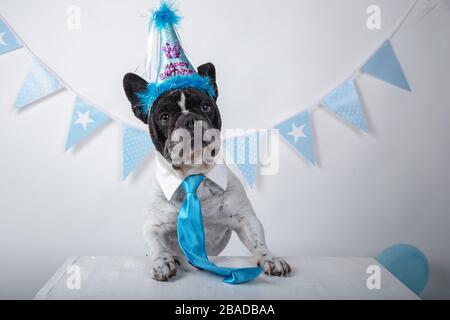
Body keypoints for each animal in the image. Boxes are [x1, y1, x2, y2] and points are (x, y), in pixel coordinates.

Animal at [123, 62, 292, 280]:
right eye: (164, 117)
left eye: (205, 107)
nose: (189, 119)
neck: (192, 172)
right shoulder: (153, 225)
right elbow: (157, 246)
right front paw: (162, 263)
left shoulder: (245, 218)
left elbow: (258, 241)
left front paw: (270, 259)